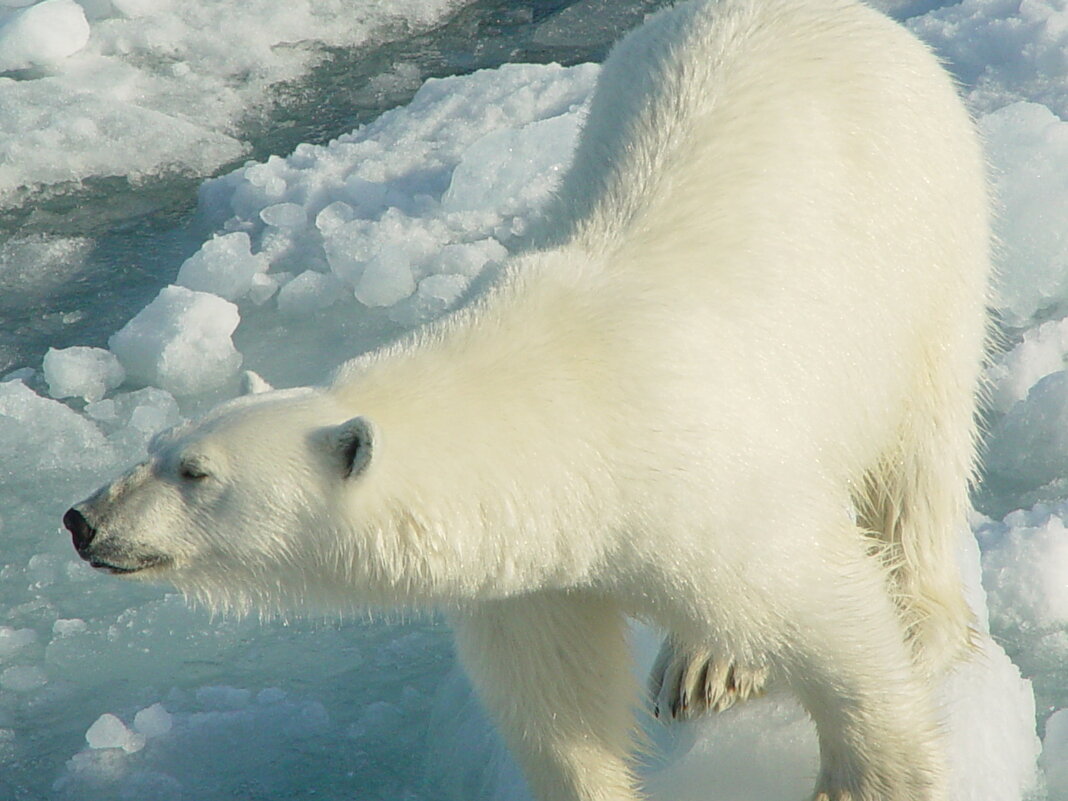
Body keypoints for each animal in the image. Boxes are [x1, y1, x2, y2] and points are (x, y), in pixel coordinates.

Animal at [62, 1, 986, 801]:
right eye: (154, 445)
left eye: (195, 472)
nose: (82, 519)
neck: (569, 410)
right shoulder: (533, 569)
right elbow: (556, 697)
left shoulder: (709, 481)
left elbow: (825, 612)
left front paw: (870, 778)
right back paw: (704, 664)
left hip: (923, 235)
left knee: (922, 450)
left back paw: (913, 617)